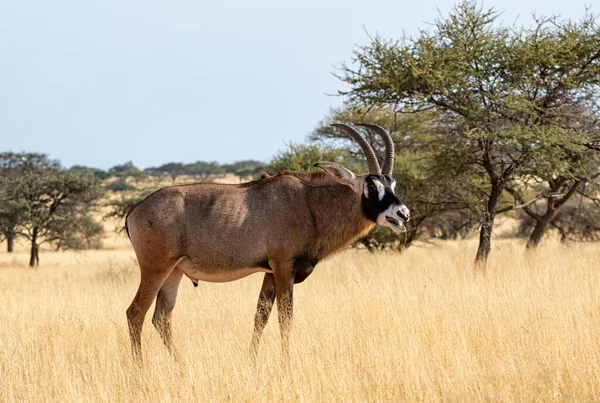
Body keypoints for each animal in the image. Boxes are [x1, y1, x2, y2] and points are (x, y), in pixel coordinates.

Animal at [124, 123, 410, 360]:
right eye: (372, 187)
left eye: (392, 183)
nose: (403, 214)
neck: (309, 203)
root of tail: (135, 210)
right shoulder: (284, 267)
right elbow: (285, 317)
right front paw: (286, 362)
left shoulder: (270, 272)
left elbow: (260, 315)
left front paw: (251, 360)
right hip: (155, 269)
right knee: (135, 313)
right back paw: (140, 369)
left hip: (174, 272)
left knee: (161, 318)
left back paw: (181, 366)